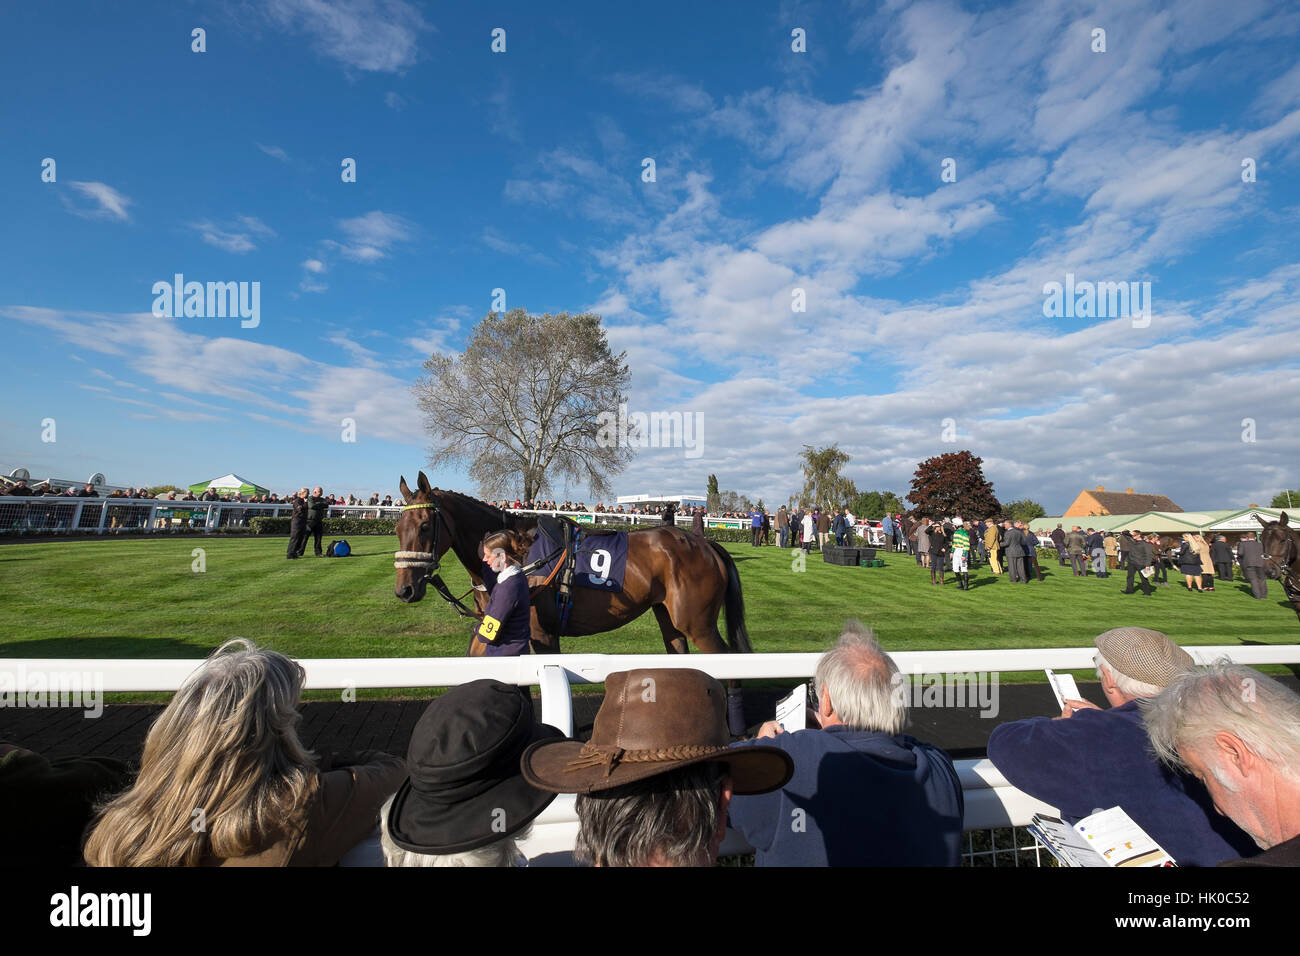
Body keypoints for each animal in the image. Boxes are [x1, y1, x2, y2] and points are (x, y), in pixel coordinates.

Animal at [390, 473, 754, 665]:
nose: (404, 590)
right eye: (397, 527)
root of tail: (705, 543)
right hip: (670, 619)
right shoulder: (494, 628)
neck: (517, 557)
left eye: (425, 526)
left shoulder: (541, 633)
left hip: (699, 625)